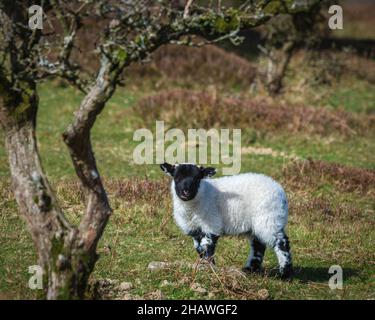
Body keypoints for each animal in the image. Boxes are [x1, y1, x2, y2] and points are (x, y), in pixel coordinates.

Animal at [159, 162, 294, 278]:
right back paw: (250, 269)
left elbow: (207, 247)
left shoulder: (211, 224)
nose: (186, 192)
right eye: (176, 178)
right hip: (258, 224)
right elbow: (199, 249)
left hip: (269, 219)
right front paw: (202, 267)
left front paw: (210, 269)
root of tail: (280, 190)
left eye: (197, 178)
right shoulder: (194, 229)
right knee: (258, 245)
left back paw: (284, 273)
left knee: (282, 242)